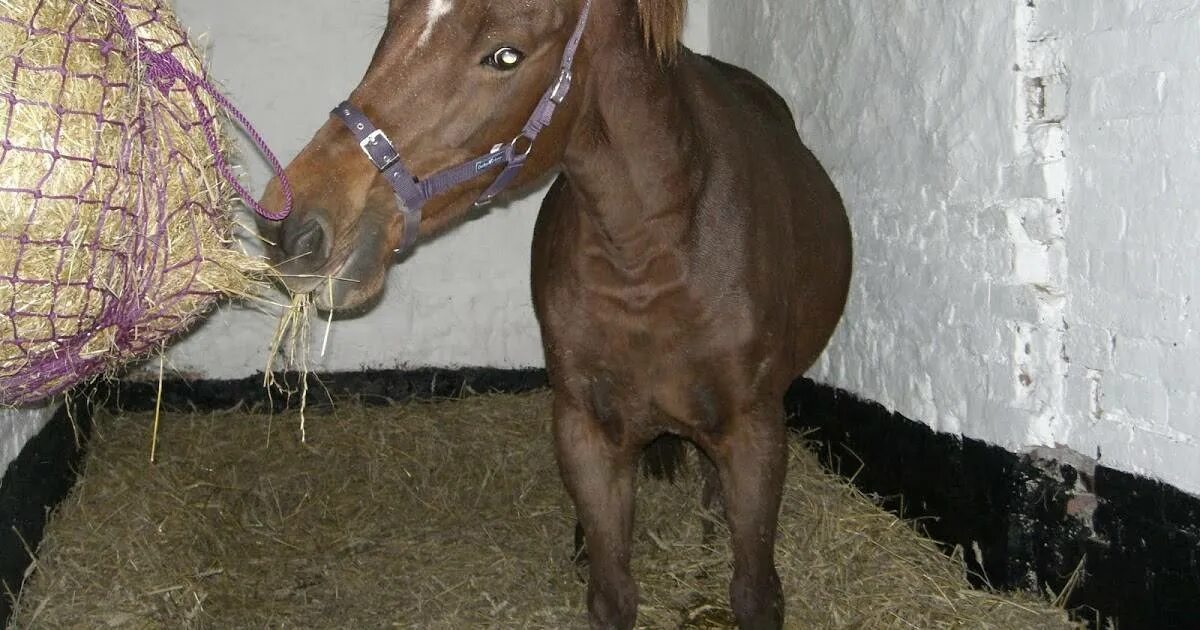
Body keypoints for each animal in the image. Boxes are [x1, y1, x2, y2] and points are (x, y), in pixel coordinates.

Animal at [259, 2, 854, 624]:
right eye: (393, 26)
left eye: (506, 55)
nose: (291, 225)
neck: (653, 258)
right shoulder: (584, 431)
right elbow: (611, 592)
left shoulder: (755, 437)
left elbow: (754, 593)